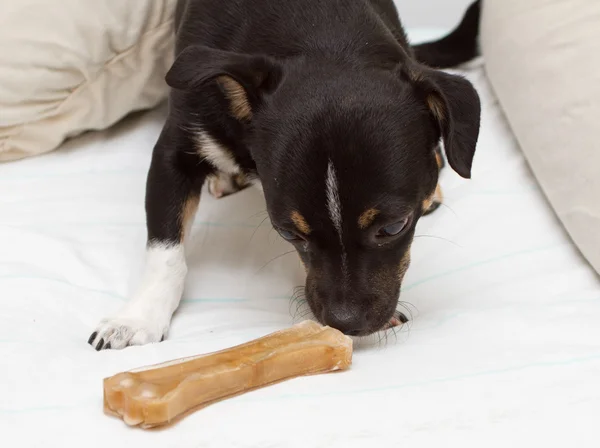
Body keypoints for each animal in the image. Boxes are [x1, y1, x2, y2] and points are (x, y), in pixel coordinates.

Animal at [88, 0, 482, 350]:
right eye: (288, 232)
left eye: (394, 227)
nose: (345, 323)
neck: (323, 32)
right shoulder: (173, 152)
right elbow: (165, 248)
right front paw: (137, 319)